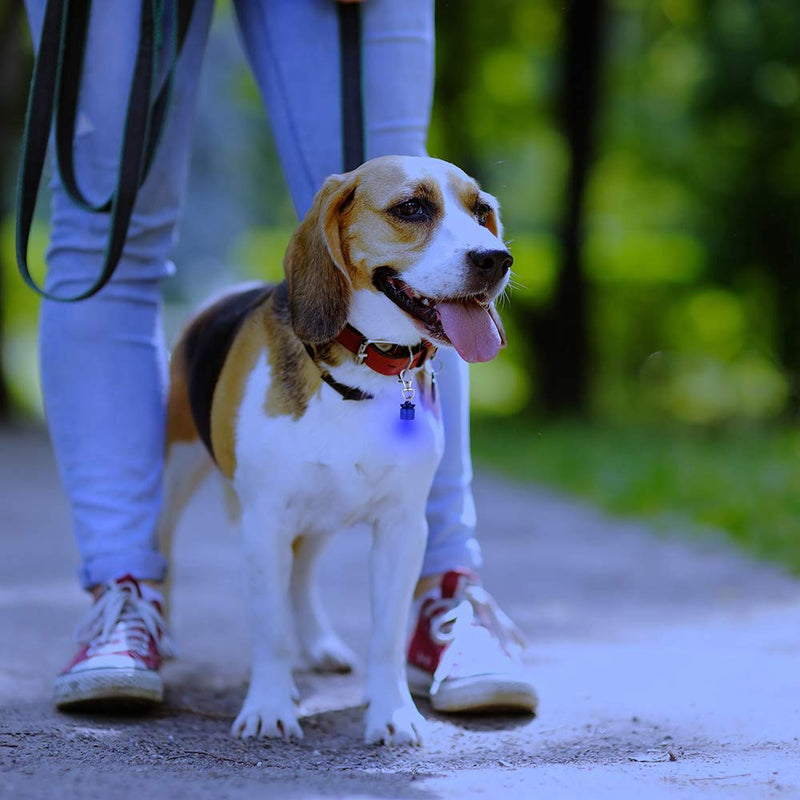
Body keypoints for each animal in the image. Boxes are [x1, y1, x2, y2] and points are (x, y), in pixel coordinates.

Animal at [161, 155, 512, 744]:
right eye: (411, 208)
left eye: (481, 210)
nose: (496, 259)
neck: (365, 369)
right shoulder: (264, 520)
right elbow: (270, 630)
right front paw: (269, 706)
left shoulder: (402, 527)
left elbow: (386, 636)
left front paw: (392, 712)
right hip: (174, 471)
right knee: (162, 552)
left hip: (323, 512)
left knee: (301, 577)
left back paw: (320, 646)